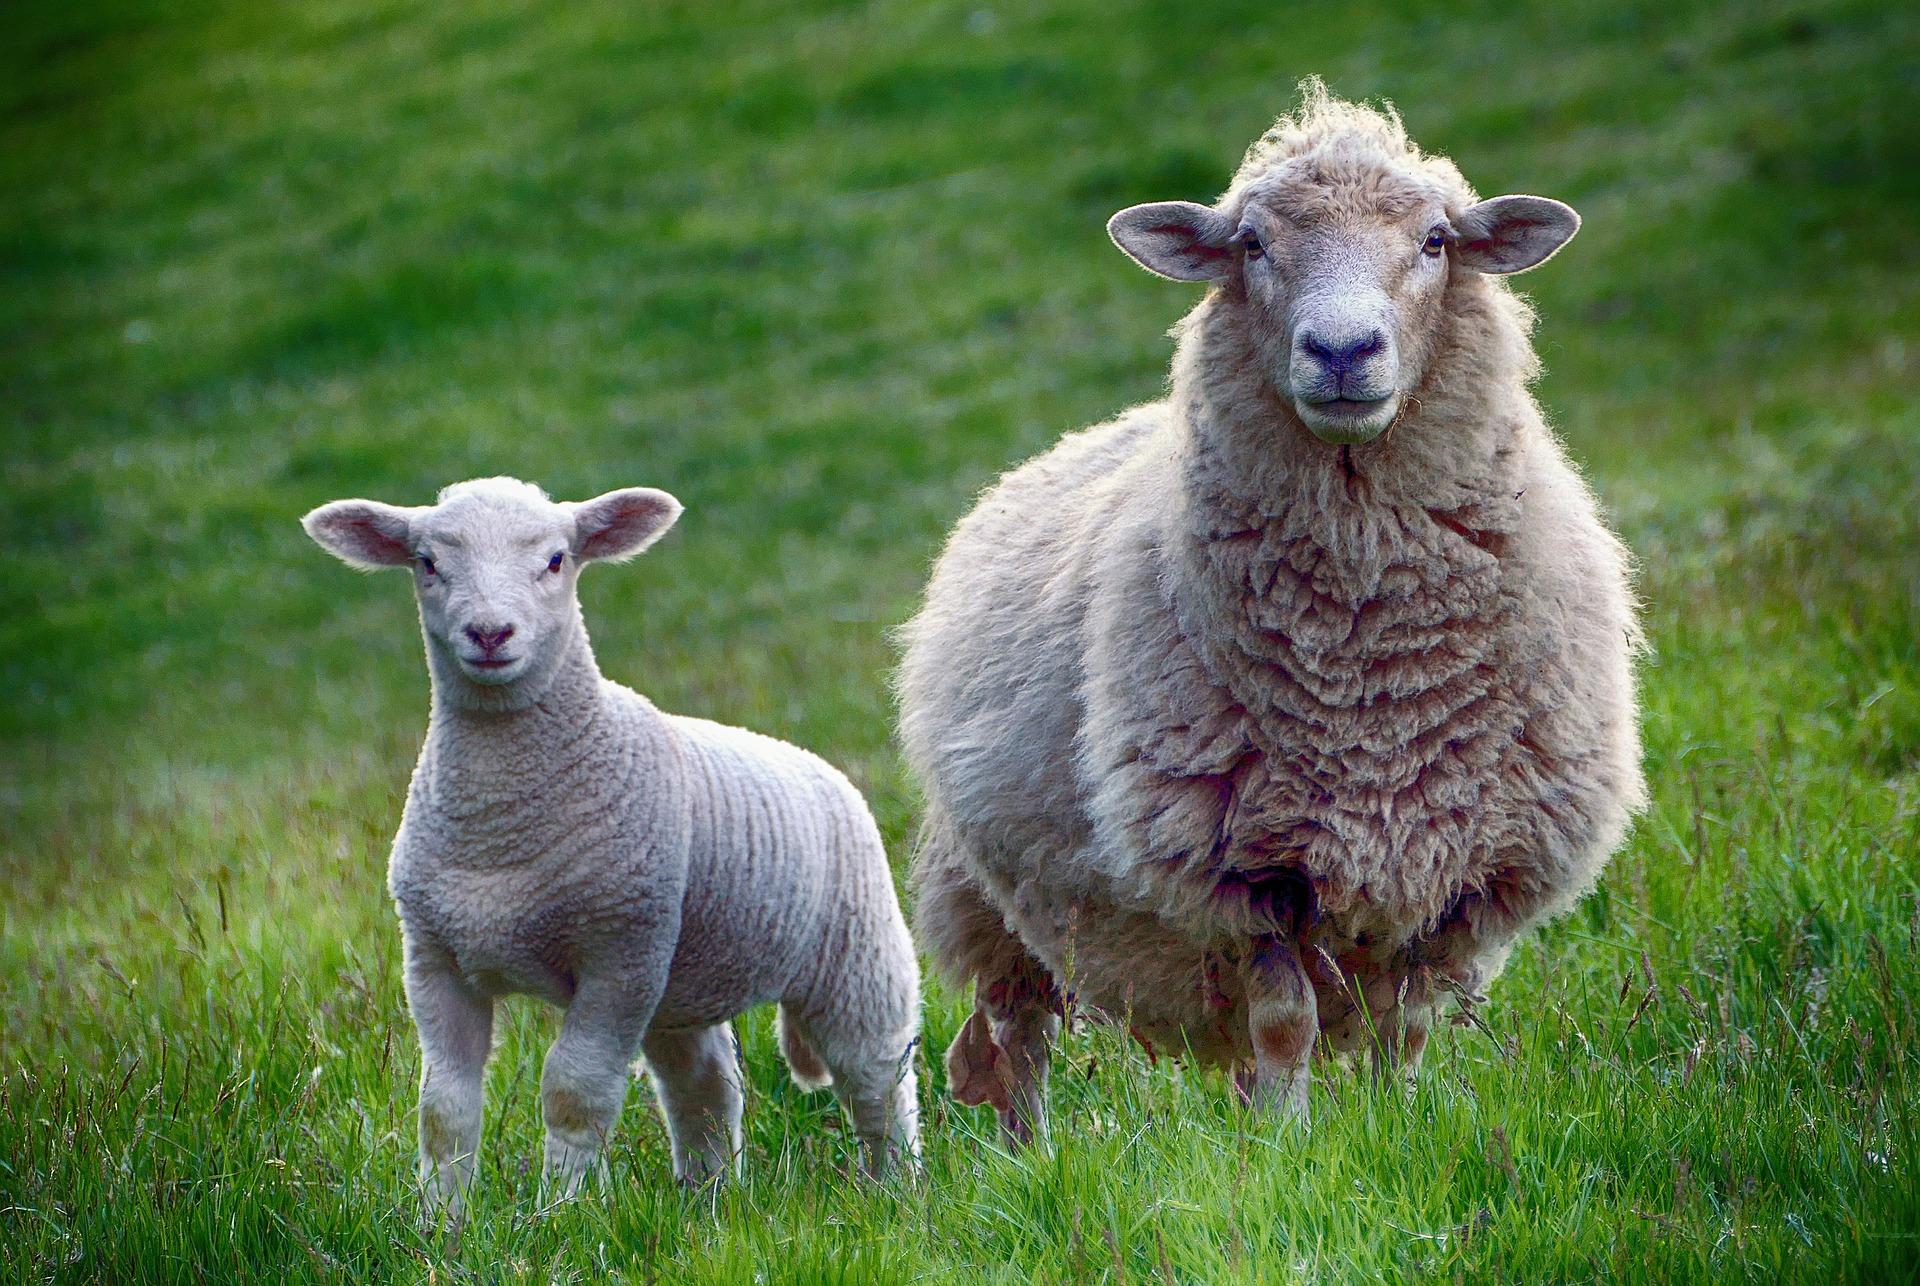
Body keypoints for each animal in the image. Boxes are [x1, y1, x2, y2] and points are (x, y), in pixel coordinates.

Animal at [303, 477, 917, 1220]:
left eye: (556, 560)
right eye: (426, 563)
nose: (489, 634)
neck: (499, 829)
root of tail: (821, 768)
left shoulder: (618, 953)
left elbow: (575, 1091)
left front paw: (555, 1214)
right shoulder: (435, 959)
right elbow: (443, 1108)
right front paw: (437, 1222)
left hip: (855, 952)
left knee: (877, 1076)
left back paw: (895, 1191)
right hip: (680, 981)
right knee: (704, 1088)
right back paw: (707, 1200)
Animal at [890, 83, 1643, 1151]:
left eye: (1437, 240)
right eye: (1251, 243)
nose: (1342, 351)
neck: (1373, 675)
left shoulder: (1458, 867)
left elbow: (1406, 1029)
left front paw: (1394, 1128)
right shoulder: (1247, 871)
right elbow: (1285, 1023)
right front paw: (1290, 1151)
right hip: (986, 894)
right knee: (1015, 1033)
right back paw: (1033, 1155)